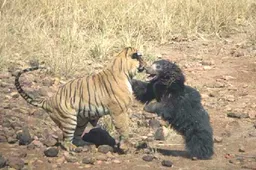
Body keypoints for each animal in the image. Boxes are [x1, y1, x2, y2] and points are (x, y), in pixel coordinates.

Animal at [14, 46, 146, 151]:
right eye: (141, 58)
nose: (146, 65)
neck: (123, 70)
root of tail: (49, 100)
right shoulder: (119, 111)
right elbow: (124, 128)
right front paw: (125, 146)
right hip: (69, 120)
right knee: (65, 140)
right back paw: (73, 148)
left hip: (81, 121)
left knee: (76, 137)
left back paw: (86, 144)